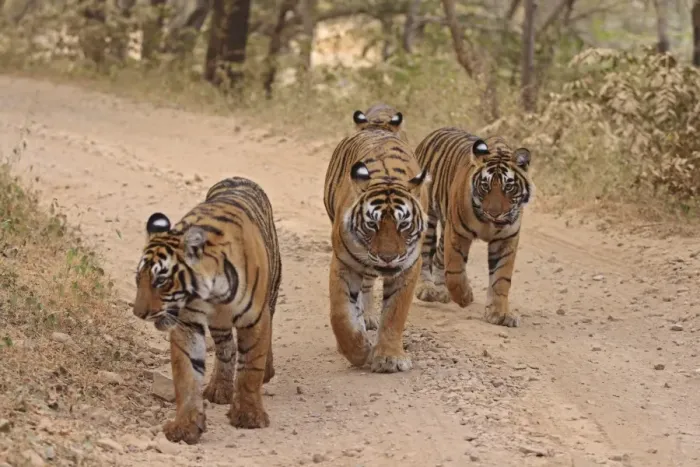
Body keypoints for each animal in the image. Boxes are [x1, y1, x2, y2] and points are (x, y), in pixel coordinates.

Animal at [132, 176, 282, 444]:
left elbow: (251, 366)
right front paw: (185, 426)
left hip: (271, 293)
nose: (139, 313)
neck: (211, 292)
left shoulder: (254, 319)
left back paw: (267, 371)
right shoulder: (187, 323)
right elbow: (187, 373)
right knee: (226, 349)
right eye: (139, 279)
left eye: (161, 281)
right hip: (220, 324)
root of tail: (238, 177)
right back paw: (219, 388)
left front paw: (249, 415)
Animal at [323, 123, 429, 373]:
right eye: (372, 224)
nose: (388, 257)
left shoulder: (408, 267)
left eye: (404, 224)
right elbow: (341, 314)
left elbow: (394, 314)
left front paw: (389, 358)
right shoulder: (343, 263)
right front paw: (359, 352)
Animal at [413, 127, 534, 328]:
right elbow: (454, 271)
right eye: (485, 186)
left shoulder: (505, 239)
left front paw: (499, 314)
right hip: (428, 216)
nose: (494, 213)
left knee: (438, 255)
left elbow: (501, 279)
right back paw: (427, 289)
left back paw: (441, 291)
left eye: (508, 187)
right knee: (425, 254)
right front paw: (464, 297)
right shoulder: (457, 233)